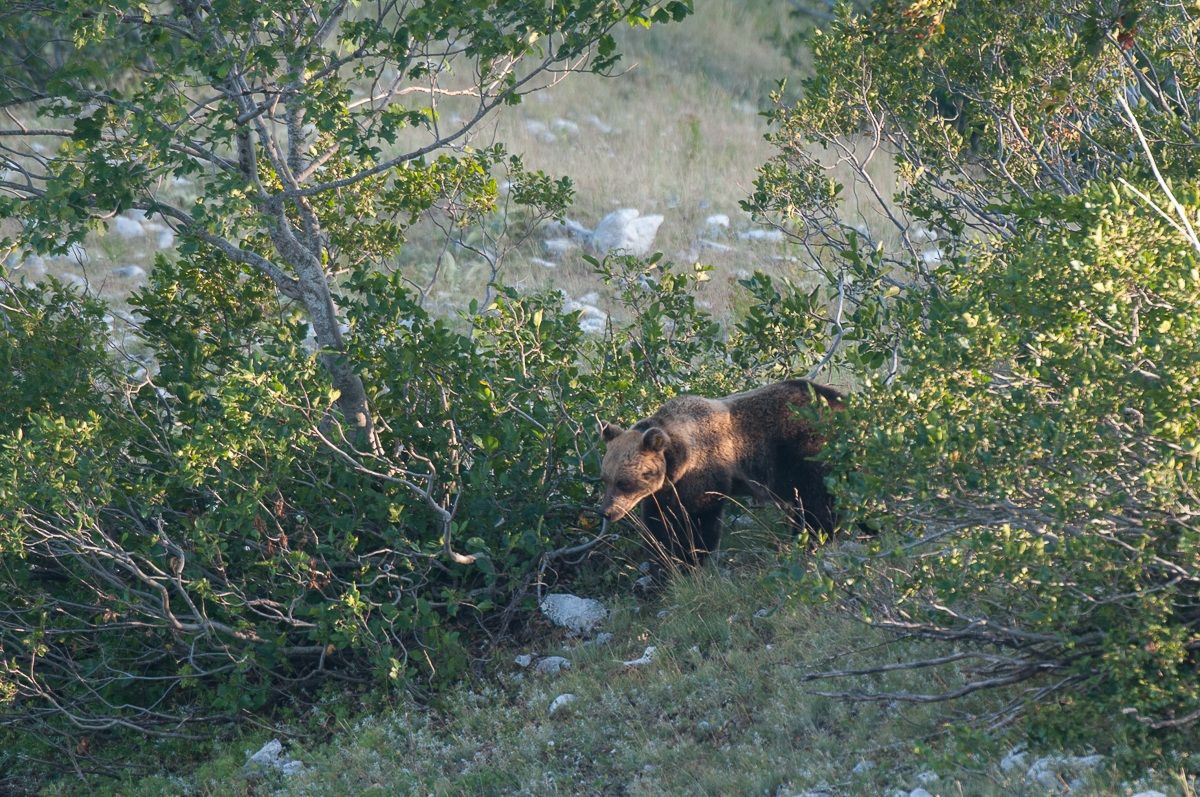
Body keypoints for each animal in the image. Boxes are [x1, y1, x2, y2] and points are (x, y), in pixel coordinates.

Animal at [600, 379, 844, 566]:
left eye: (624, 482)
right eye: (605, 478)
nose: (607, 512)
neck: (679, 461)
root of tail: (839, 400)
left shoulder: (705, 474)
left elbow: (699, 521)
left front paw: (690, 559)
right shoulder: (665, 490)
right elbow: (659, 522)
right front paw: (662, 557)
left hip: (806, 449)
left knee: (817, 502)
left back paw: (815, 537)